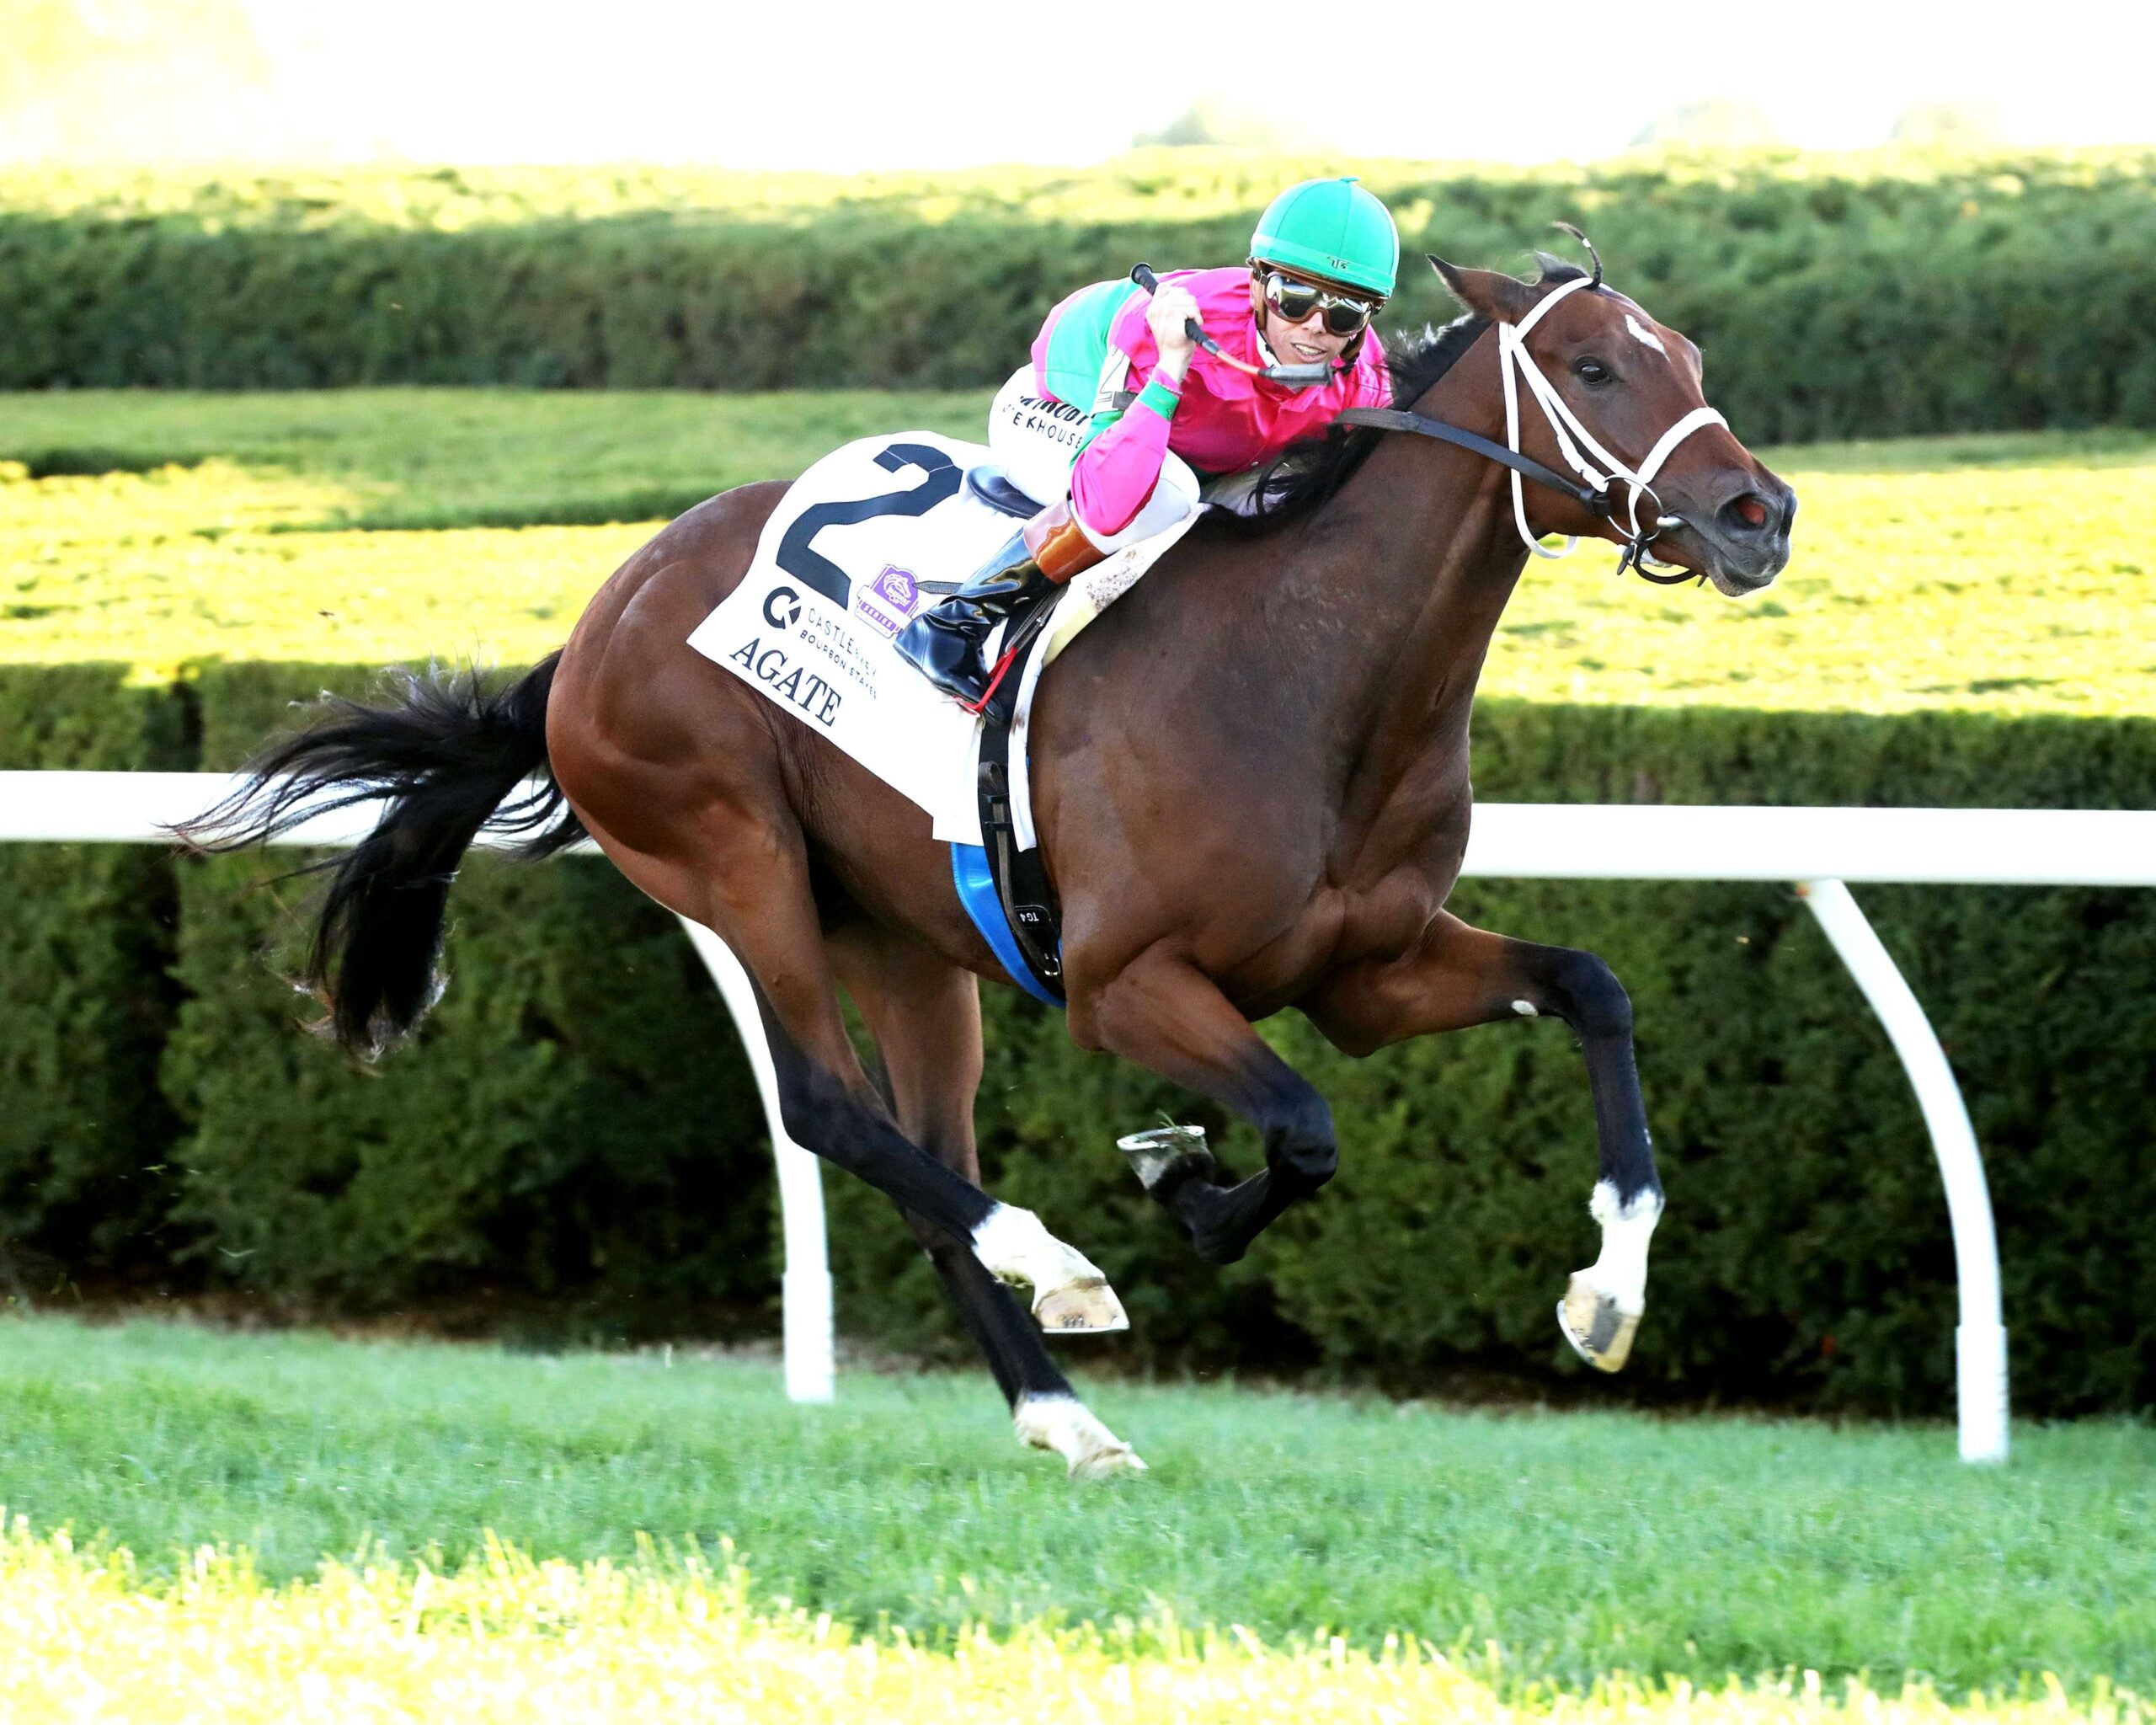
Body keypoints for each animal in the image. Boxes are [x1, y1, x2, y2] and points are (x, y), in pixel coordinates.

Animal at [185, 246, 1795, 1479]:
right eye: (1592, 367)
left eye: (1689, 352)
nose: (1756, 514)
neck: (1307, 678)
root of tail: (596, 620)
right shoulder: (1124, 982)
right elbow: (1304, 1126)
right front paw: (1184, 1185)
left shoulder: (1370, 971)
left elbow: (1591, 988)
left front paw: (1604, 1295)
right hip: (728, 851)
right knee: (829, 1108)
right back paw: (1061, 1266)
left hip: (905, 937)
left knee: (926, 1160)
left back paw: (1066, 1414)